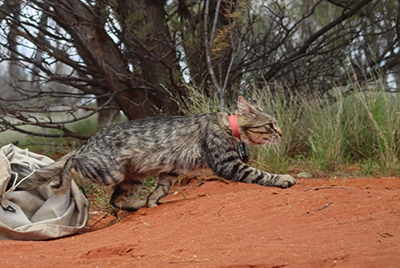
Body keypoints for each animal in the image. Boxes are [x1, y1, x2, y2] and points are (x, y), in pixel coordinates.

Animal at [12, 95, 296, 210]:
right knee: (72, 161)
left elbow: (162, 189)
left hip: (132, 178)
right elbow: (260, 174)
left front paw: (151, 201)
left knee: (116, 200)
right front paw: (282, 178)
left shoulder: (170, 170)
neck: (230, 127)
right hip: (106, 171)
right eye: (271, 125)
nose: (282, 133)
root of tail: (90, 141)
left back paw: (138, 204)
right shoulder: (228, 164)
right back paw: (60, 183)